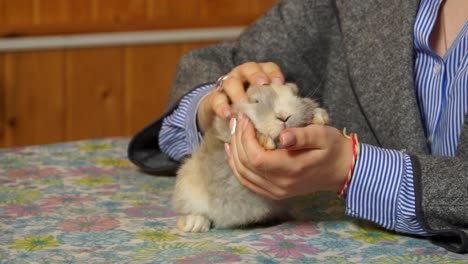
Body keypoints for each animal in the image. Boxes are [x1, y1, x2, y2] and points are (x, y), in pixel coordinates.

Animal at [172, 83, 330, 233]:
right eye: (256, 101)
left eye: (296, 94)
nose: (285, 116)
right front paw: (265, 140)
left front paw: (319, 116)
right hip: (187, 186)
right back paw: (195, 223)